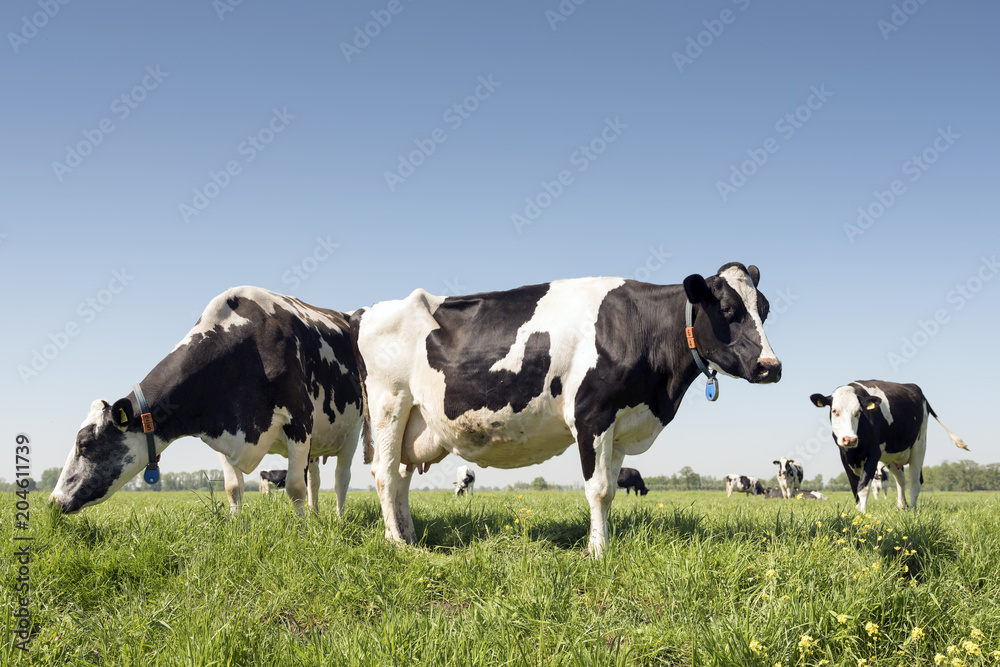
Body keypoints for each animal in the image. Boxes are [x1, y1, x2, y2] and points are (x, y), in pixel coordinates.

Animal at [49, 286, 364, 516]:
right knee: (316, 481)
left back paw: (337, 520)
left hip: (352, 430)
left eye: (84, 444)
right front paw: (238, 529)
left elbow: (295, 486)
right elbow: (233, 488)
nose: (53, 500)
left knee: (341, 478)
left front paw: (300, 533)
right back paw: (316, 517)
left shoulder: (299, 420)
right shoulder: (222, 428)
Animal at [352, 264, 780, 556]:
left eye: (764, 309)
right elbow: (599, 489)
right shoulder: (592, 415)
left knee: (401, 478)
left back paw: (411, 537)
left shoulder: (620, 425)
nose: (771, 367)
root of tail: (367, 311)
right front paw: (599, 552)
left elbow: (610, 489)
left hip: (413, 422)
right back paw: (396, 544)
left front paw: (599, 544)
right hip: (390, 403)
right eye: (727, 309)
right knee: (385, 475)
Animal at [812, 378, 968, 516]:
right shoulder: (845, 455)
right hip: (892, 456)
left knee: (915, 481)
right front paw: (857, 511)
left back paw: (912, 509)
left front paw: (862, 514)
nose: (849, 439)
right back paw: (902, 506)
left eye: (858, 412)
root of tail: (915, 388)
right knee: (901, 479)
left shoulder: (873, 453)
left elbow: (863, 486)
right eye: (834, 411)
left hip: (919, 444)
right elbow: (855, 487)